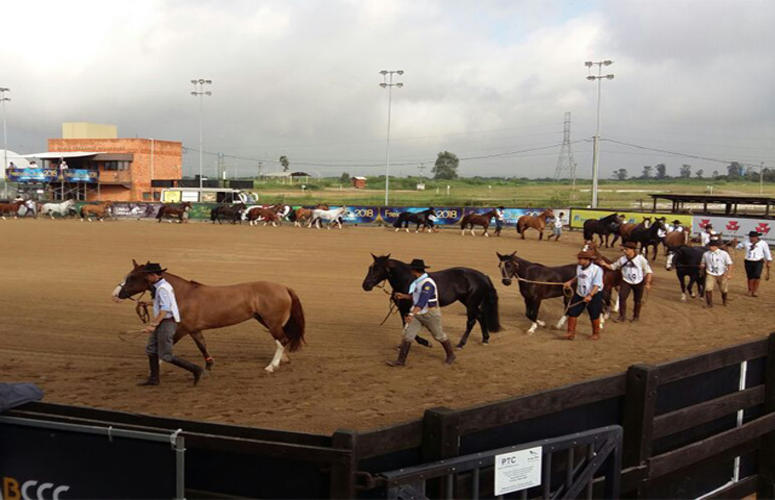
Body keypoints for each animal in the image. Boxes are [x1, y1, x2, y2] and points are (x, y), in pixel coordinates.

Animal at [113, 262, 306, 372]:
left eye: (132, 277)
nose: (115, 294)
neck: (182, 294)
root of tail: (284, 288)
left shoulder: (181, 329)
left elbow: (166, 348)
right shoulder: (194, 329)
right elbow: (202, 346)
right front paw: (209, 364)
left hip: (272, 323)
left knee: (282, 340)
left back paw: (272, 366)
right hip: (265, 320)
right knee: (283, 340)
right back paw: (283, 360)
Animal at [364, 254, 504, 348]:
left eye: (377, 269)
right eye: (370, 267)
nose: (365, 285)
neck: (408, 280)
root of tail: (483, 276)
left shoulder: (410, 308)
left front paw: (426, 342)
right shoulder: (403, 308)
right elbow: (405, 324)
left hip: (471, 304)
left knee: (471, 321)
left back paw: (461, 343)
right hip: (468, 302)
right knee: (481, 316)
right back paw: (485, 339)